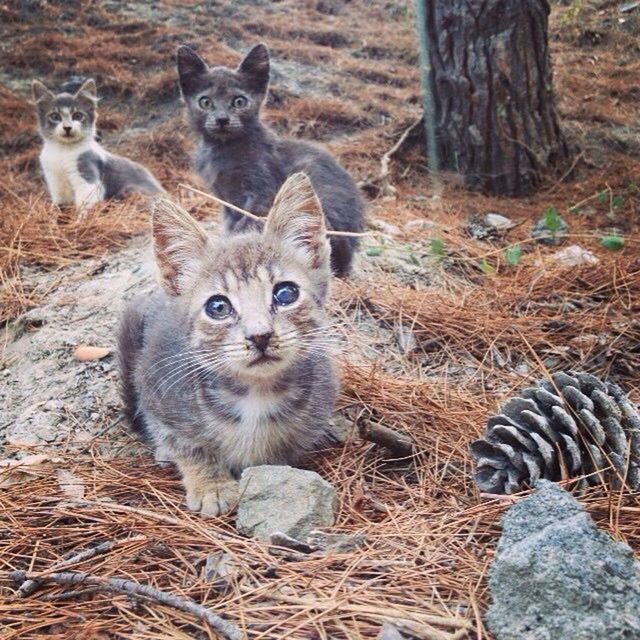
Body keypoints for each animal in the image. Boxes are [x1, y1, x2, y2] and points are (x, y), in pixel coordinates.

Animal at [32, 79, 164, 215]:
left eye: (78, 116)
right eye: (55, 116)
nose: (67, 127)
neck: (62, 151)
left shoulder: (88, 181)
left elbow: (84, 208)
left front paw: (81, 220)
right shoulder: (56, 185)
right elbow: (60, 209)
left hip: (131, 191)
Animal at [117, 172, 338, 516]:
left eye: (285, 293)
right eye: (218, 307)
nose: (260, 335)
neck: (255, 394)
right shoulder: (157, 390)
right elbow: (186, 443)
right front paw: (212, 484)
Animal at [176, 42, 364, 278]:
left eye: (239, 101)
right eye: (206, 102)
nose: (222, 119)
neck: (223, 149)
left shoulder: (261, 192)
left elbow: (245, 225)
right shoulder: (226, 200)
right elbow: (230, 225)